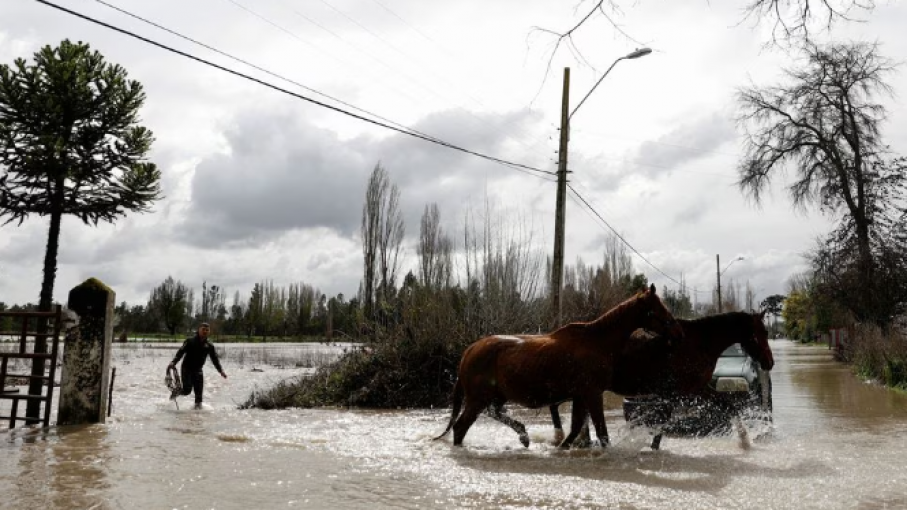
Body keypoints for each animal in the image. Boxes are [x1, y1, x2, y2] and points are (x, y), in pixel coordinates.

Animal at [432, 284, 680, 448]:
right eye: (658, 308)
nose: (678, 332)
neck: (597, 342)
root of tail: (470, 350)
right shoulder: (592, 394)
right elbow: (601, 432)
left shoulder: (581, 396)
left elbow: (577, 427)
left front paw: (562, 447)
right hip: (477, 399)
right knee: (461, 427)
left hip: (495, 397)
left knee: (493, 413)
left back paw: (523, 435)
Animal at [548, 308, 772, 448]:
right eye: (761, 332)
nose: (769, 362)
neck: (698, 343)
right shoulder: (675, 392)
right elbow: (663, 421)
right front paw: (652, 446)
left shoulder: (697, 389)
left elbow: (730, 406)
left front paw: (745, 441)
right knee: (555, 406)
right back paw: (562, 436)